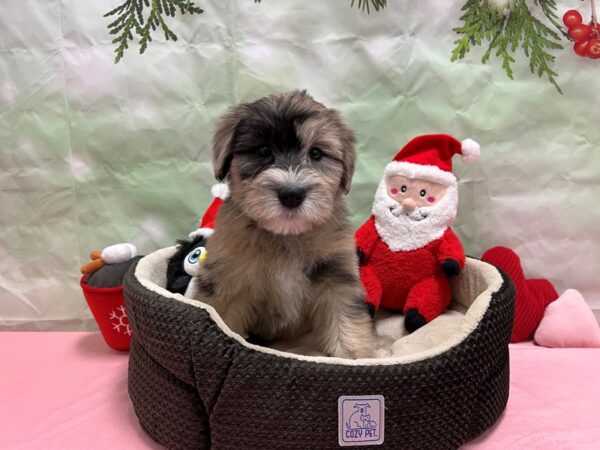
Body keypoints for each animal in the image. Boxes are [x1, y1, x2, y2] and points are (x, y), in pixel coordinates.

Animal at [190, 90, 372, 358]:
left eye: (316, 153)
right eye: (264, 151)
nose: (292, 194)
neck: (285, 236)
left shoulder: (336, 274)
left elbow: (346, 318)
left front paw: (355, 357)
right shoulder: (227, 280)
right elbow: (223, 319)